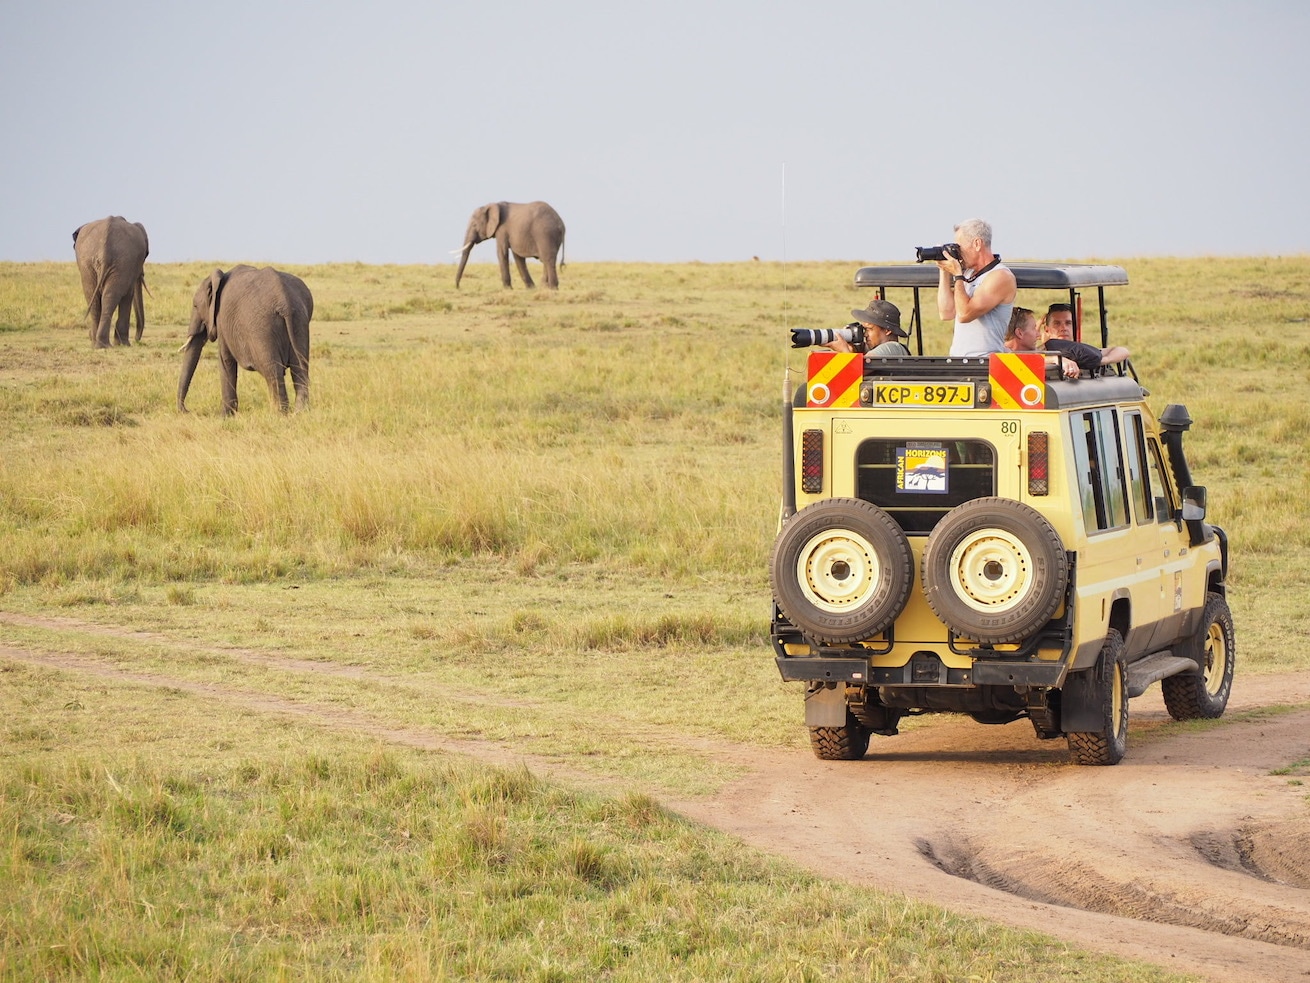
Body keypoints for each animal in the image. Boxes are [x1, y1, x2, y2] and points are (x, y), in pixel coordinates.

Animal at [71, 216, 148, 351]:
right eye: (146, 255)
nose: (137, 340)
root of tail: (104, 249)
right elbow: (129, 295)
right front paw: (124, 344)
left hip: (90, 264)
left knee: (94, 296)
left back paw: (98, 345)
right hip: (115, 263)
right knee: (108, 297)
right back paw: (104, 345)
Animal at [178, 266, 313, 416]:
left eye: (195, 306)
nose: (187, 411)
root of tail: (284, 301)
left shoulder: (222, 320)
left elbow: (225, 361)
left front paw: (225, 416)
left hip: (261, 329)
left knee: (273, 371)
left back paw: (278, 415)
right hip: (299, 320)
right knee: (300, 368)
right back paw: (299, 413)